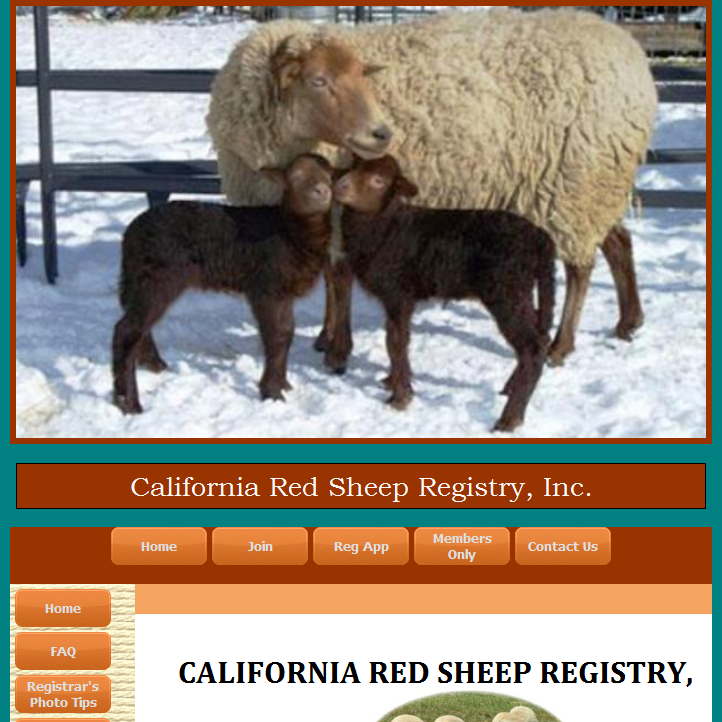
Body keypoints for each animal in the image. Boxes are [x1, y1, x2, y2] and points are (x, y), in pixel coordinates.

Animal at [111, 154, 333, 415]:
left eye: (330, 175)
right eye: (295, 176)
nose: (322, 190)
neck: (291, 232)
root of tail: (130, 233)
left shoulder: (283, 291)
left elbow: (287, 333)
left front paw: (283, 384)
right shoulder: (266, 287)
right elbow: (276, 336)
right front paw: (271, 392)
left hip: (140, 277)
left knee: (136, 322)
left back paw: (154, 365)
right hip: (157, 277)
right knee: (126, 329)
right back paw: (129, 403)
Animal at [207, 9, 657, 371]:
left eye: (360, 76)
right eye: (317, 80)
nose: (382, 133)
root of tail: (632, 56)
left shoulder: (340, 208)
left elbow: (339, 278)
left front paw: (337, 351)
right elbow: (334, 281)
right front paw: (325, 338)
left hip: (575, 183)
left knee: (581, 267)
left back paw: (561, 346)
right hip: (594, 183)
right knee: (619, 241)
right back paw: (629, 322)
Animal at [334, 155, 555, 432]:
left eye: (379, 180)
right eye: (353, 168)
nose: (340, 186)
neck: (385, 228)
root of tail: (540, 238)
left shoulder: (398, 292)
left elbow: (395, 342)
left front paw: (400, 397)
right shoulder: (398, 298)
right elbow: (398, 338)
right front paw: (393, 381)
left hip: (507, 291)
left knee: (532, 347)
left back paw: (509, 419)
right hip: (523, 291)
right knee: (541, 337)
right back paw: (510, 389)